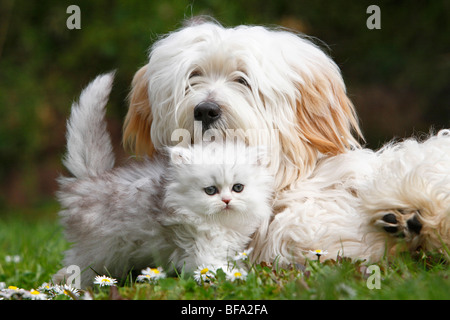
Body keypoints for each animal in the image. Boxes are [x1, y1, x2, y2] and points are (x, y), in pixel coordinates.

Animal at [54, 74, 272, 288]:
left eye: (238, 188)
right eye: (210, 190)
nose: (226, 201)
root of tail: (91, 179)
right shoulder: (201, 250)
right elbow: (214, 268)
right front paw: (238, 279)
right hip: (98, 249)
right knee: (77, 264)